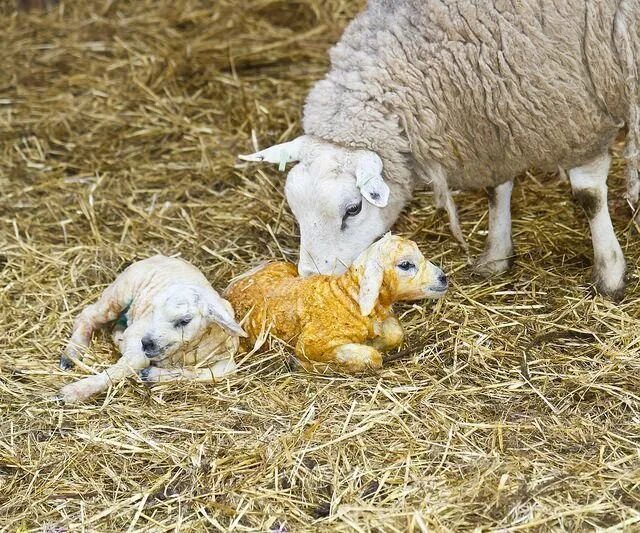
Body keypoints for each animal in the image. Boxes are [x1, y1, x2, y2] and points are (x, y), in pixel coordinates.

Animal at [58, 256, 246, 402]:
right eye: (154, 311)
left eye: (184, 321)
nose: (147, 343)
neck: (184, 352)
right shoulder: (139, 333)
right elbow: (133, 362)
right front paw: (72, 392)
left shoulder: (227, 356)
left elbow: (220, 372)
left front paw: (151, 374)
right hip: (119, 292)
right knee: (87, 315)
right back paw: (71, 355)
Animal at [225, 235, 450, 372]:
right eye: (405, 264)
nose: (443, 278)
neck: (347, 298)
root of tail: (230, 288)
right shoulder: (310, 344)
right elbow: (373, 357)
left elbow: (396, 332)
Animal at [241, 0, 640, 300]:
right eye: (294, 209)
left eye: (353, 209)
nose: (310, 277)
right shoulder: (498, 121)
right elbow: (496, 190)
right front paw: (496, 255)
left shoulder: (578, 116)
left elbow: (589, 196)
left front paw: (610, 274)